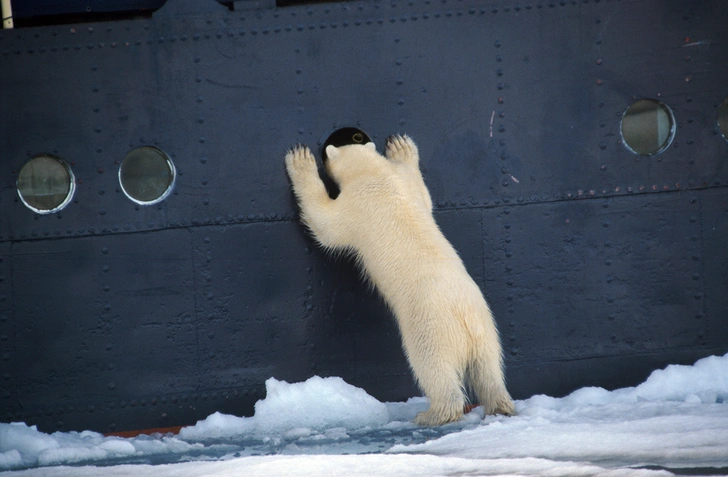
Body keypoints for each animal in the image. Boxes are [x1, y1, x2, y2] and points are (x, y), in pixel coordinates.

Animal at [282, 133, 516, 424]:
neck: (375, 174)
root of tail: (465, 319)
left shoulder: (356, 205)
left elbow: (325, 223)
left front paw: (300, 160)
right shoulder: (403, 184)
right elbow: (424, 197)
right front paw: (402, 148)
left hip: (430, 326)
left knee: (433, 366)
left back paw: (433, 414)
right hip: (486, 326)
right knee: (489, 369)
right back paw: (500, 405)